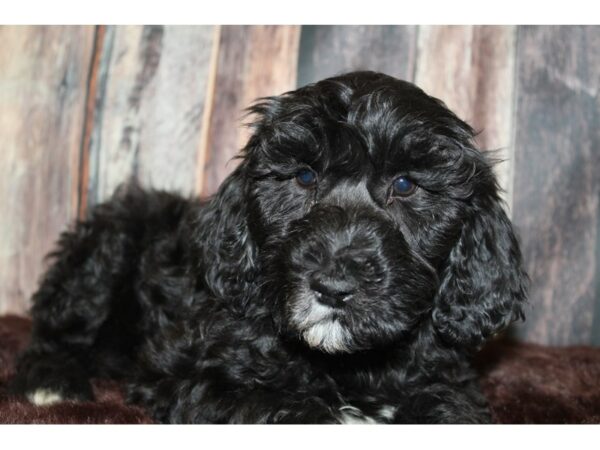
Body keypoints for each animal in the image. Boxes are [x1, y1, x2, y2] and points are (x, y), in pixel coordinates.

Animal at [11, 72, 528, 424]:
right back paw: (52, 381)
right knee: (57, 329)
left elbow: (448, 408)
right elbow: (277, 406)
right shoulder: (184, 372)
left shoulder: (448, 383)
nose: (333, 287)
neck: (348, 365)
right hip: (109, 247)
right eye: (303, 176)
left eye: (405, 186)